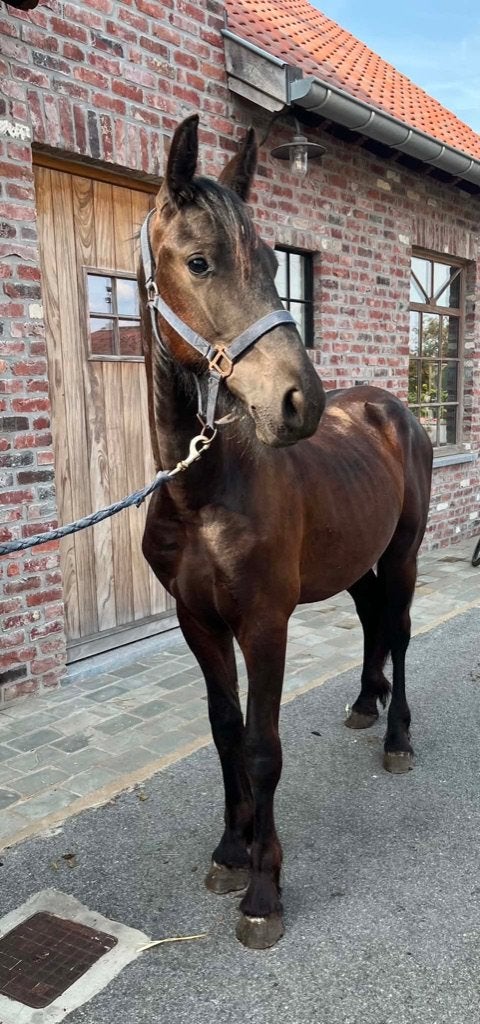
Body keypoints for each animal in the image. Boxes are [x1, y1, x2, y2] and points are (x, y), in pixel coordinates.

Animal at [140, 115, 433, 949]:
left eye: (276, 261)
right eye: (199, 261)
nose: (299, 402)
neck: (203, 492)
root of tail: (391, 409)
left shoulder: (265, 623)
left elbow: (264, 748)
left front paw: (264, 890)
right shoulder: (198, 621)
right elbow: (225, 731)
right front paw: (230, 850)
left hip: (404, 554)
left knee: (400, 632)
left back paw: (397, 738)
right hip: (358, 562)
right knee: (372, 624)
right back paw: (365, 702)